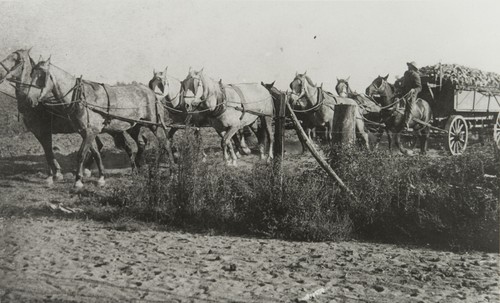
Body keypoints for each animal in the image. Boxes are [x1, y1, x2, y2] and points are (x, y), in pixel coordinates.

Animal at [0, 49, 139, 185]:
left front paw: (55, 175)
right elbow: (47, 152)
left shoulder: (43, 131)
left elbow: (48, 153)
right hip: (110, 129)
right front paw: (54, 174)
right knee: (108, 147)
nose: (0, 73)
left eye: (16, 59)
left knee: (126, 146)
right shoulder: (40, 132)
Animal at [25, 58, 174, 189]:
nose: (29, 99)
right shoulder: (86, 132)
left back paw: (171, 171)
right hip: (134, 127)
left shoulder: (91, 131)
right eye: (31, 74)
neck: (81, 97)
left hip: (155, 125)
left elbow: (81, 154)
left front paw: (78, 181)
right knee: (141, 143)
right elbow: (95, 152)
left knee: (165, 143)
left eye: (43, 76)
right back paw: (136, 168)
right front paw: (100, 178)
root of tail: (153, 93)